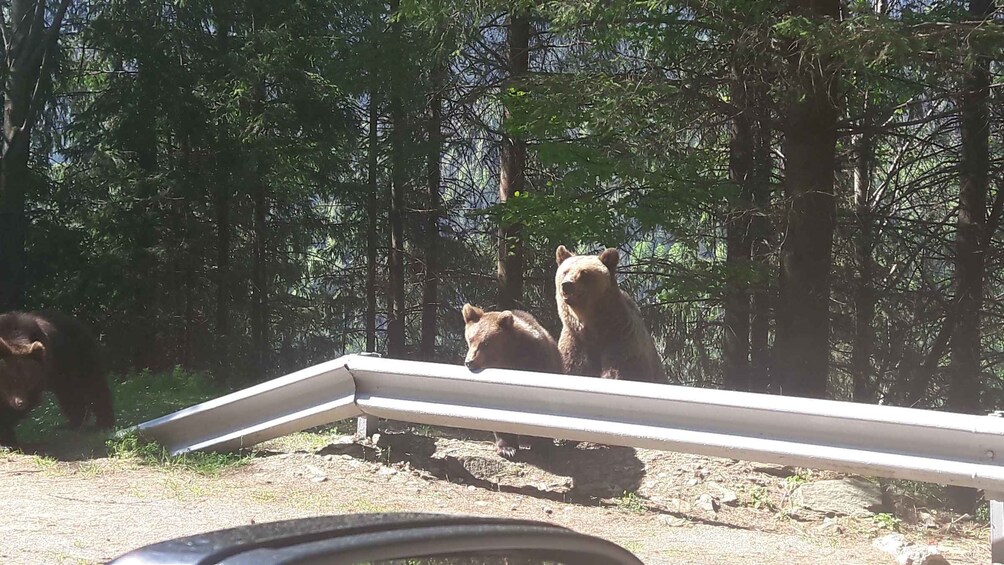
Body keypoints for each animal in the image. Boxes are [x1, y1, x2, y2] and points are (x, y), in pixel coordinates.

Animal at [0, 309, 114, 447]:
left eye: (29, 382)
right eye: (12, 379)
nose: (20, 403)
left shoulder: (38, 379)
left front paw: (7, 436)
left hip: (77, 358)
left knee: (93, 387)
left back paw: (103, 423)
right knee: (70, 396)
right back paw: (73, 424)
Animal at [461, 303, 566, 457]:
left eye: (485, 343)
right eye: (470, 339)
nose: (469, 362)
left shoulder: (539, 362)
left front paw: (542, 446)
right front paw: (507, 449)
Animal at [558, 246, 666, 385]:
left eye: (584, 272)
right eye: (565, 271)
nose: (567, 285)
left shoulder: (621, 338)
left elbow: (619, 371)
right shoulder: (574, 341)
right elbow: (572, 366)